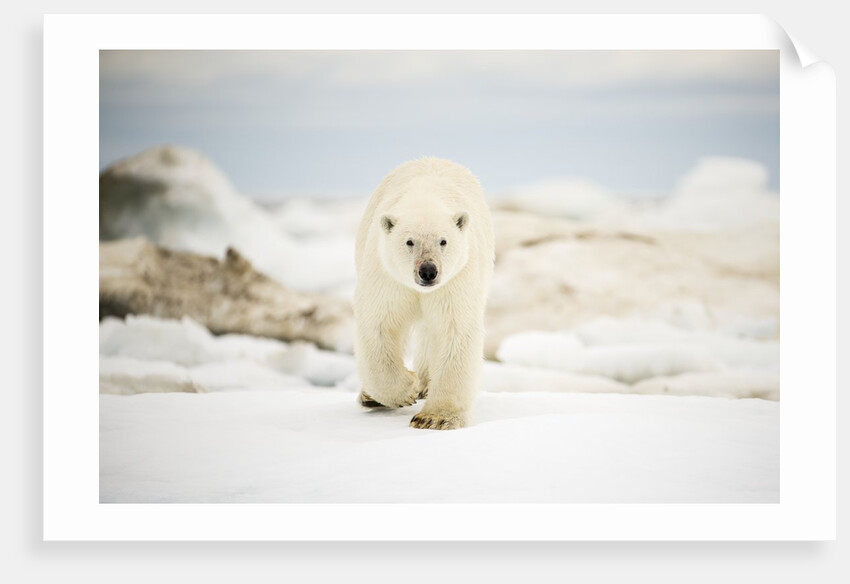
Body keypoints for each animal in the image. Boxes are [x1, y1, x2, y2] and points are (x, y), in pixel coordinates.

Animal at [353, 157, 495, 430]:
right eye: (409, 242)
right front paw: (406, 388)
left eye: (443, 241)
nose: (428, 271)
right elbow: (378, 324)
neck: (425, 197)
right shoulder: (387, 276)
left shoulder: (456, 279)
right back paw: (370, 397)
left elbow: (454, 330)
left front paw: (435, 418)